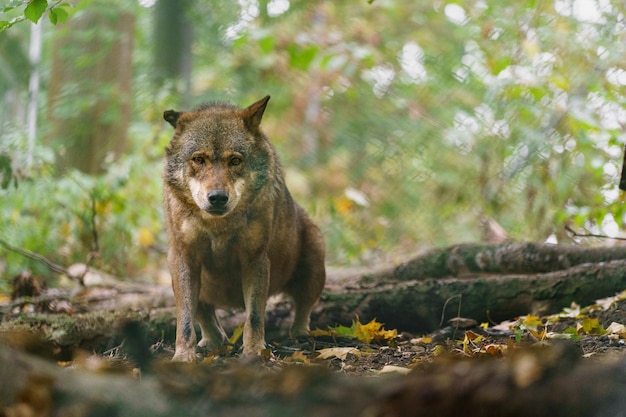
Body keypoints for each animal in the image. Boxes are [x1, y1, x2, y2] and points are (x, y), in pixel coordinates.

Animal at [161, 95, 326, 360]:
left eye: (235, 160)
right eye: (199, 159)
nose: (217, 197)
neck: (219, 226)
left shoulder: (255, 259)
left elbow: (254, 316)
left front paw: (255, 353)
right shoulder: (185, 259)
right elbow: (185, 320)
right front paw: (183, 357)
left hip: (315, 263)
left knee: (303, 310)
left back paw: (300, 337)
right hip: (174, 266)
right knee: (209, 321)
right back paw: (212, 343)